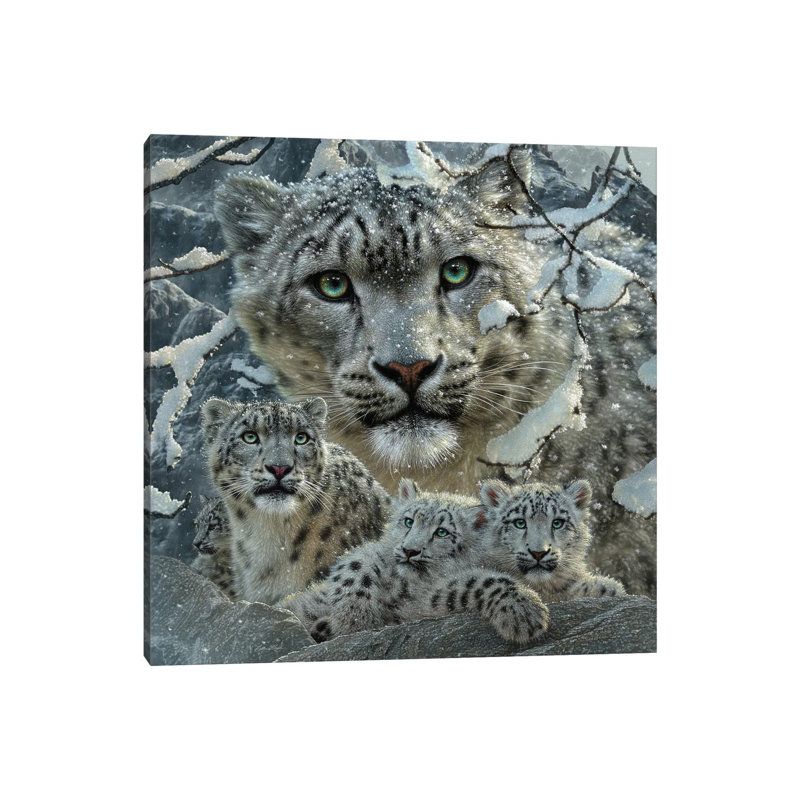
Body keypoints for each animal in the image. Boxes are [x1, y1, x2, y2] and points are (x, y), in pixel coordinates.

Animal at [281, 478, 549, 645]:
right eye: (409, 521)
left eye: (442, 532)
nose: (409, 550)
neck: (403, 587)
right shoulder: (372, 554)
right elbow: (356, 567)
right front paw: (355, 618)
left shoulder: (425, 602)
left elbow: (479, 582)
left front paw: (526, 611)